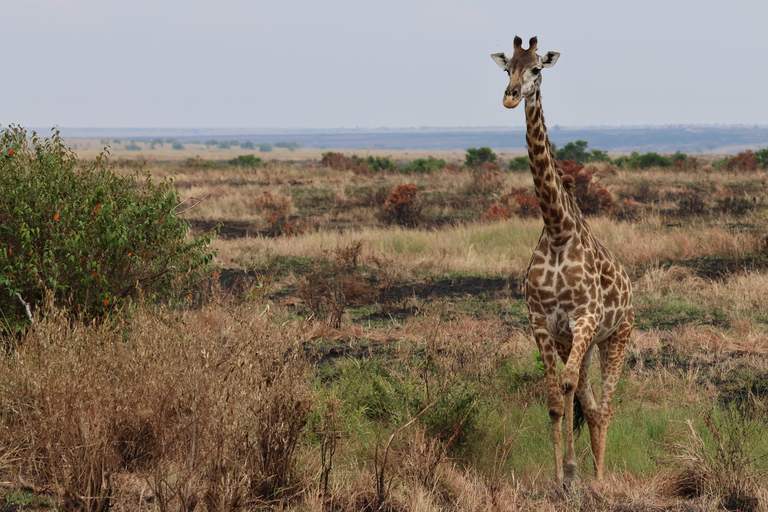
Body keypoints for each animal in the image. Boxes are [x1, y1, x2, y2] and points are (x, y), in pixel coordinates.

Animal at [492, 36, 636, 484]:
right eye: (508, 68)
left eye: (537, 68)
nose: (510, 96)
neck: (557, 230)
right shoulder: (542, 323)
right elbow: (557, 398)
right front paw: (560, 476)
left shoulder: (586, 317)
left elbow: (569, 387)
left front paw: (573, 471)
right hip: (577, 342)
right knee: (588, 401)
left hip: (615, 336)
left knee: (604, 406)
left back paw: (600, 477)